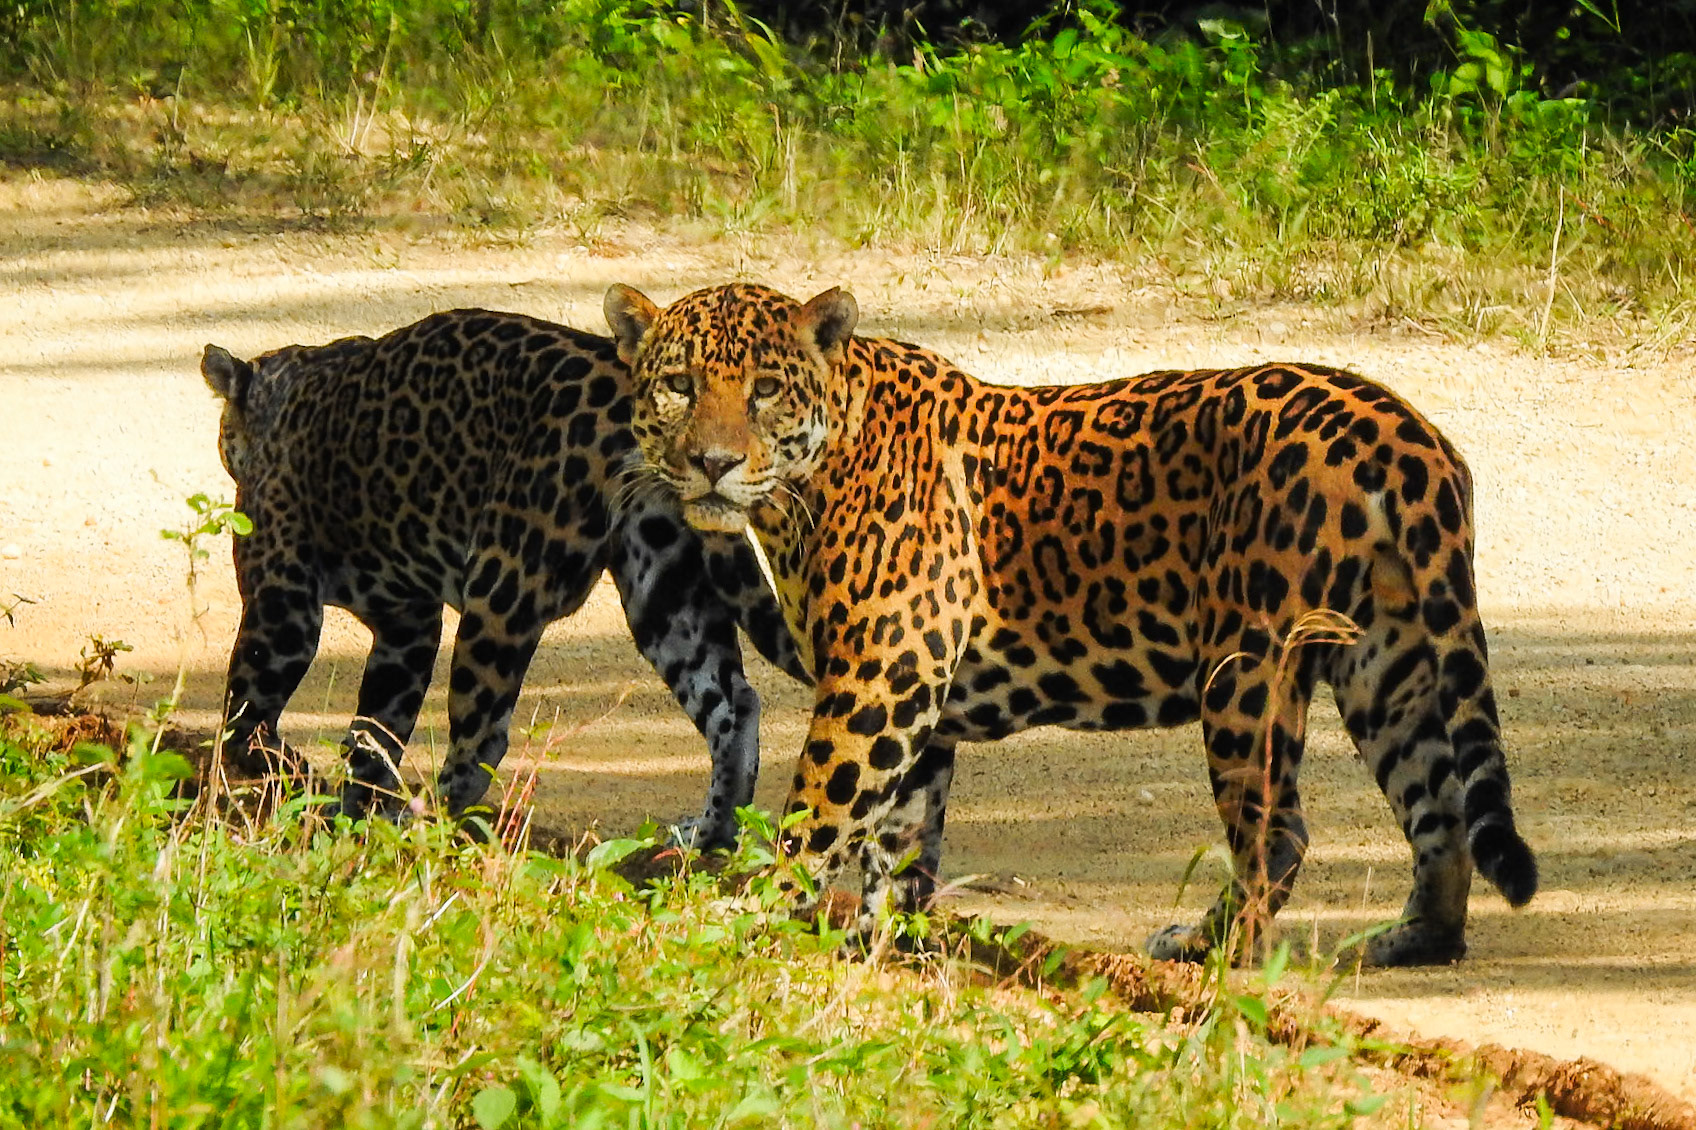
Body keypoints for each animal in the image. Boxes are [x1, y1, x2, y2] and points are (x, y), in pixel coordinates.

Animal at [199, 307, 808, 846]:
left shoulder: (283, 606)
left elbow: (243, 721)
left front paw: (301, 780)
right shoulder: (406, 624)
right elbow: (376, 731)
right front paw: (349, 812)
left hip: (502, 583)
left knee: (482, 739)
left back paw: (425, 821)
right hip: (663, 587)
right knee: (733, 703)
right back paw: (711, 834)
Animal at [602, 281, 1539, 966]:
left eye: (765, 391)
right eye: (679, 385)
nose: (712, 464)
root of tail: (1402, 434)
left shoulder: (882, 674)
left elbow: (817, 814)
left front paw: (743, 915)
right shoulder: (921, 700)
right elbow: (898, 842)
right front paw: (878, 940)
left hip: (1249, 666)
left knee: (1277, 832)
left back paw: (1215, 951)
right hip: (1392, 659)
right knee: (1440, 809)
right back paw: (1412, 941)